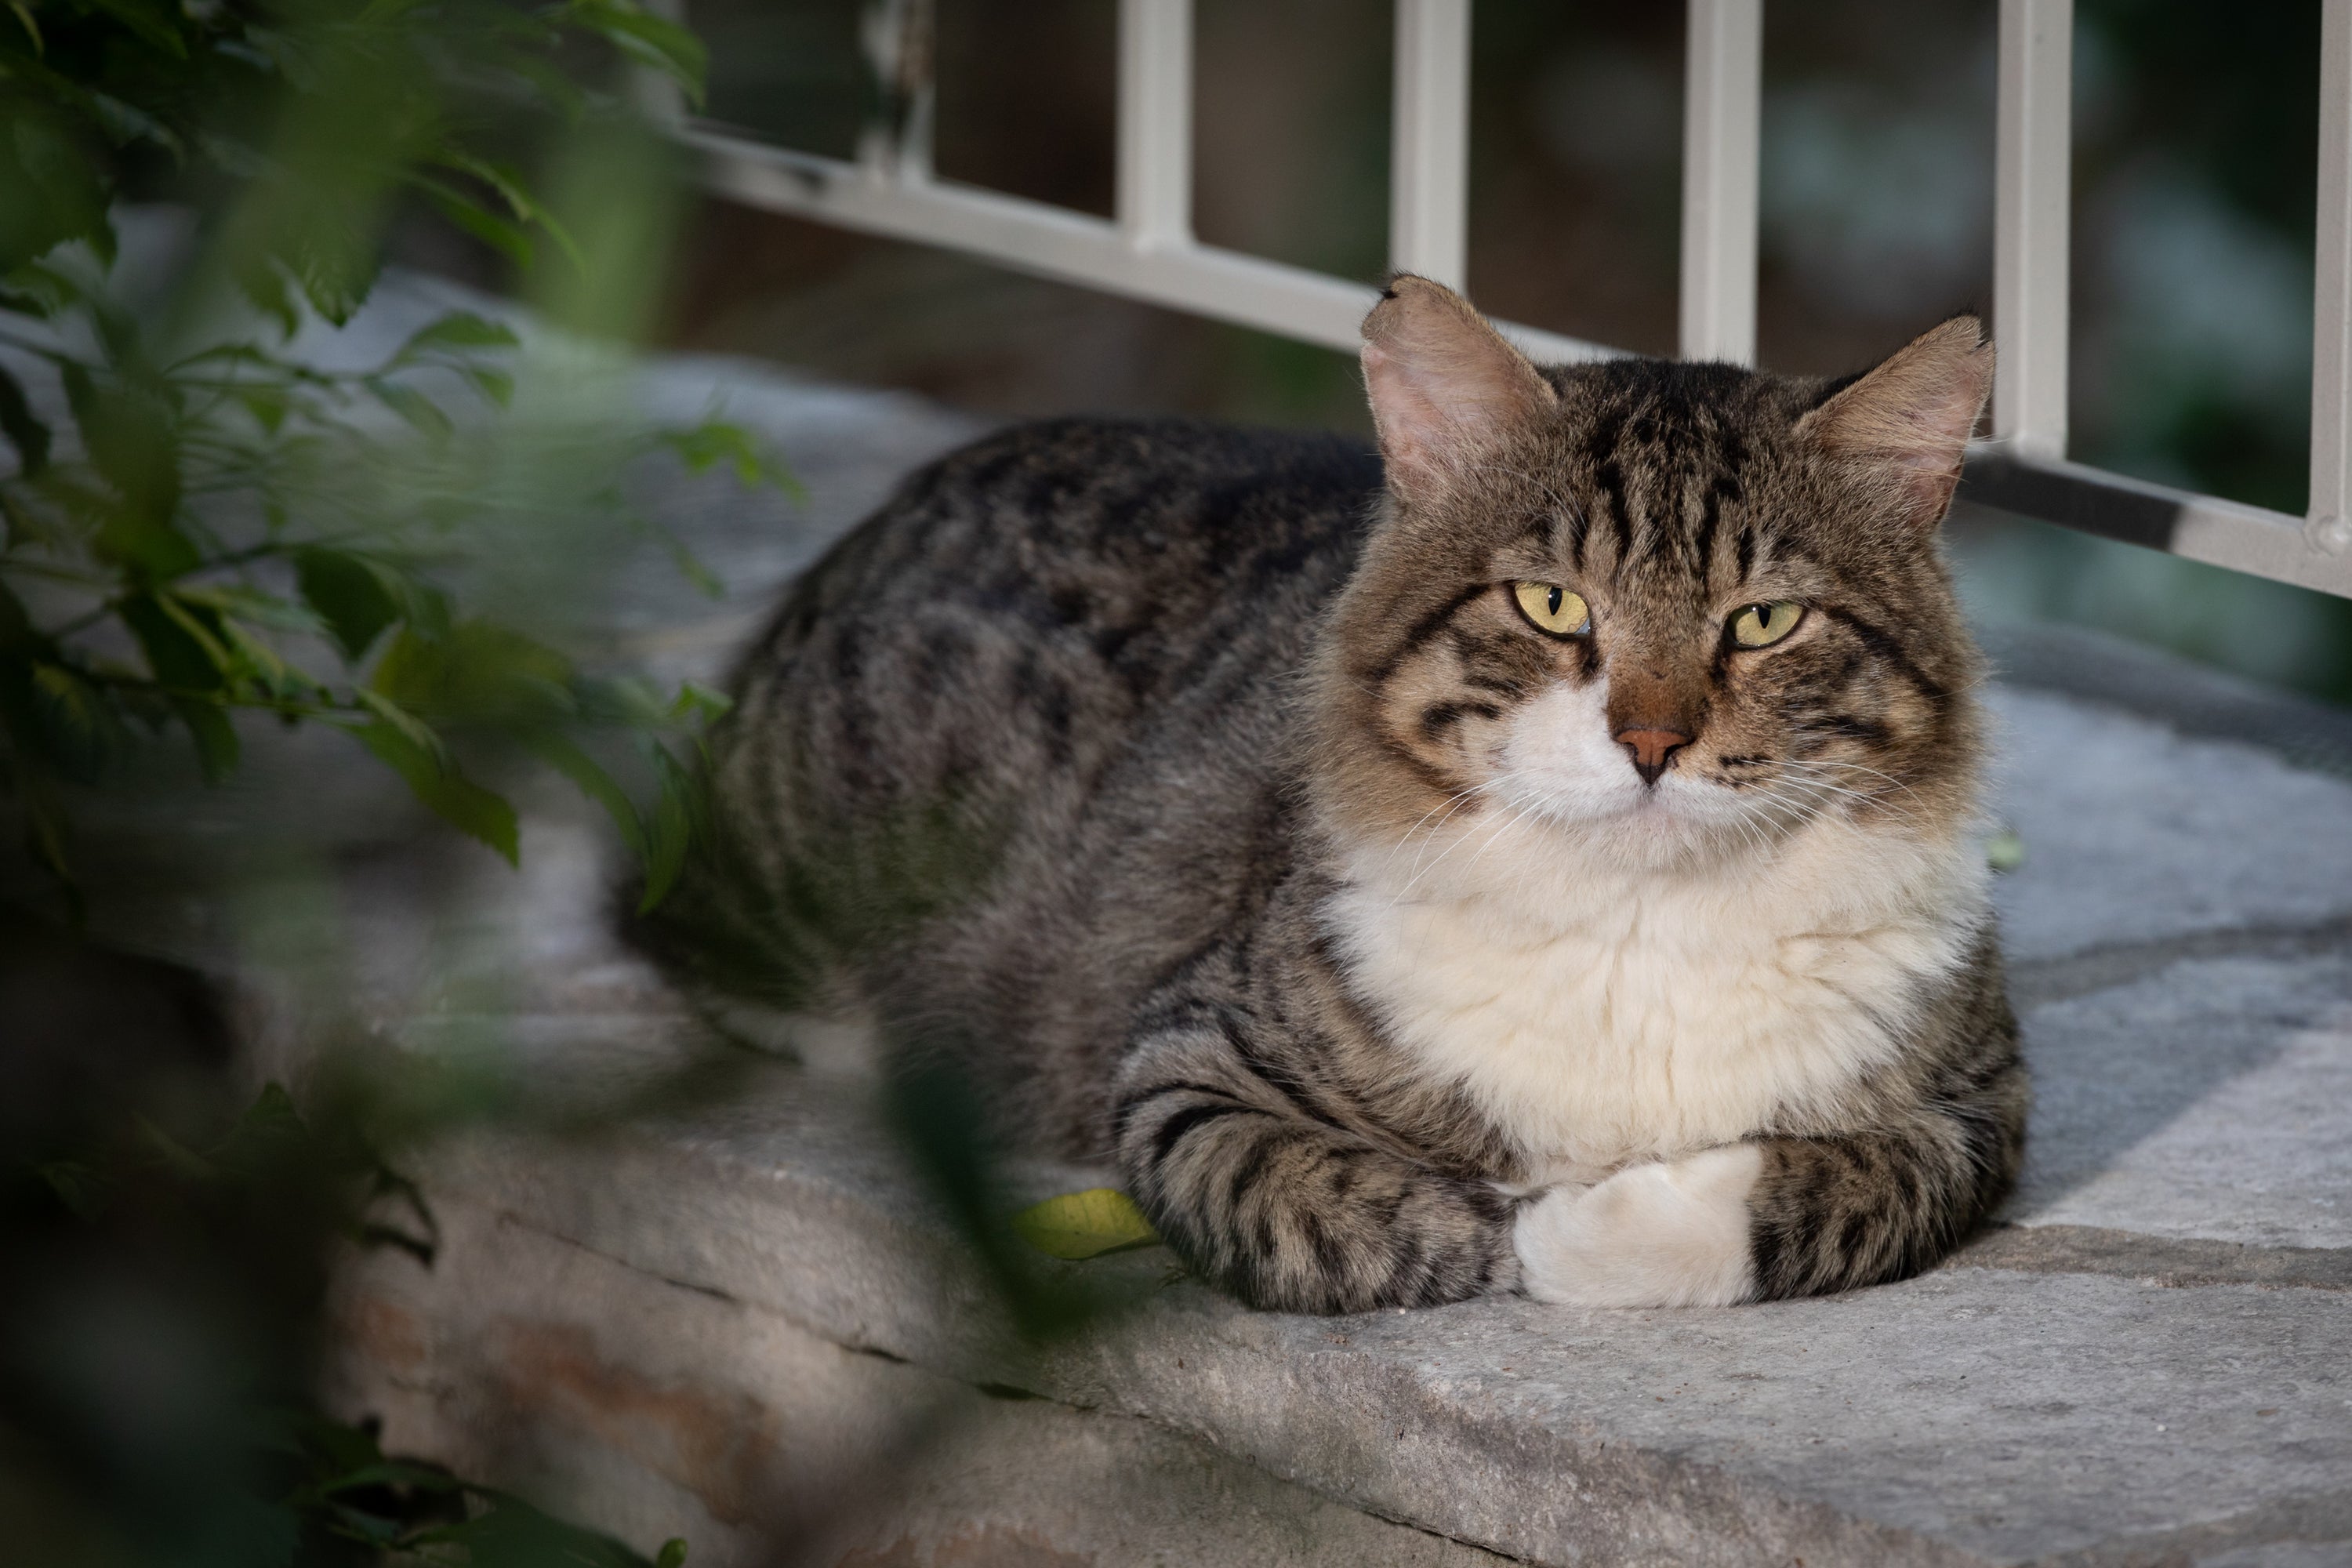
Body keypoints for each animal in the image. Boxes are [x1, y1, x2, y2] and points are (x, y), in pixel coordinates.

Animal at [635, 278, 2032, 1316]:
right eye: (1552, 604)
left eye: (1765, 621)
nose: (1651, 740)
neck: (1641, 928)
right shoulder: (1185, 1061)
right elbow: (1348, 1213)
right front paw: (1515, 1221)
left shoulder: (1981, 1106)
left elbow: (1846, 1194)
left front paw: (1598, 1224)